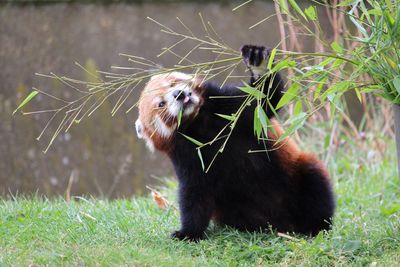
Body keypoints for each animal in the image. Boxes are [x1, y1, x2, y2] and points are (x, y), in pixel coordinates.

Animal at [134, 45, 334, 242]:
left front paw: (258, 63)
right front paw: (188, 233)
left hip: (296, 174)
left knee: (314, 180)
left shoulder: (228, 107)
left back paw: (316, 226)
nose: (179, 94)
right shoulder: (188, 157)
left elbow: (264, 99)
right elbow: (194, 196)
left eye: (173, 83)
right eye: (161, 104)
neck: (200, 124)